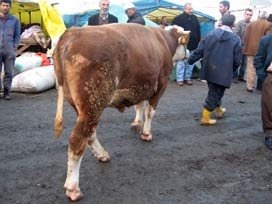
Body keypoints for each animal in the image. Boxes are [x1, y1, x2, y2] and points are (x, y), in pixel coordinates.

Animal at [53, 23, 189, 201]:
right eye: (187, 42)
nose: (189, 55)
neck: (164, 42)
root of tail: (72, 32)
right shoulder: (161, 85)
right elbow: (150, 112)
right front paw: (146, 133)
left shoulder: (142, 85)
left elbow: (140, 106)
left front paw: (137, 123)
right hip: (92, 104)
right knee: (78, 140)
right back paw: (73, 187)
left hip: (82, 107)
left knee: (90, 134)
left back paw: (102, 154)